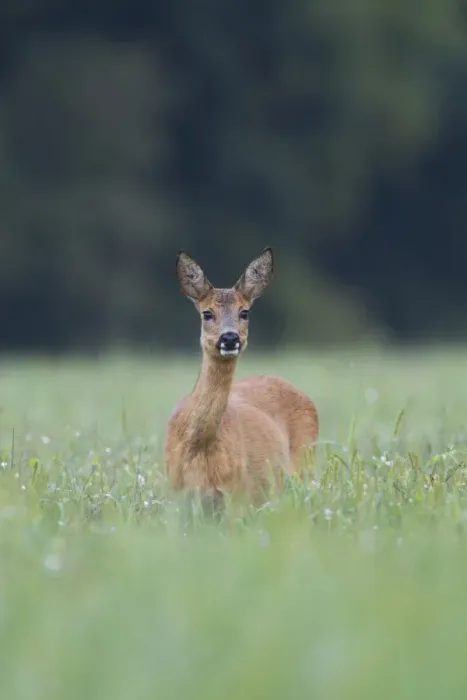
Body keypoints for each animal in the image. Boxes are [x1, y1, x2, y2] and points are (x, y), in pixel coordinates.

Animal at [163, 247, 319, 507]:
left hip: (305, 464)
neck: (198, 447)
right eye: (207, 313)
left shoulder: (237, 494)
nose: (229, 338)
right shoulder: (175, 494)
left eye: (244, 312)